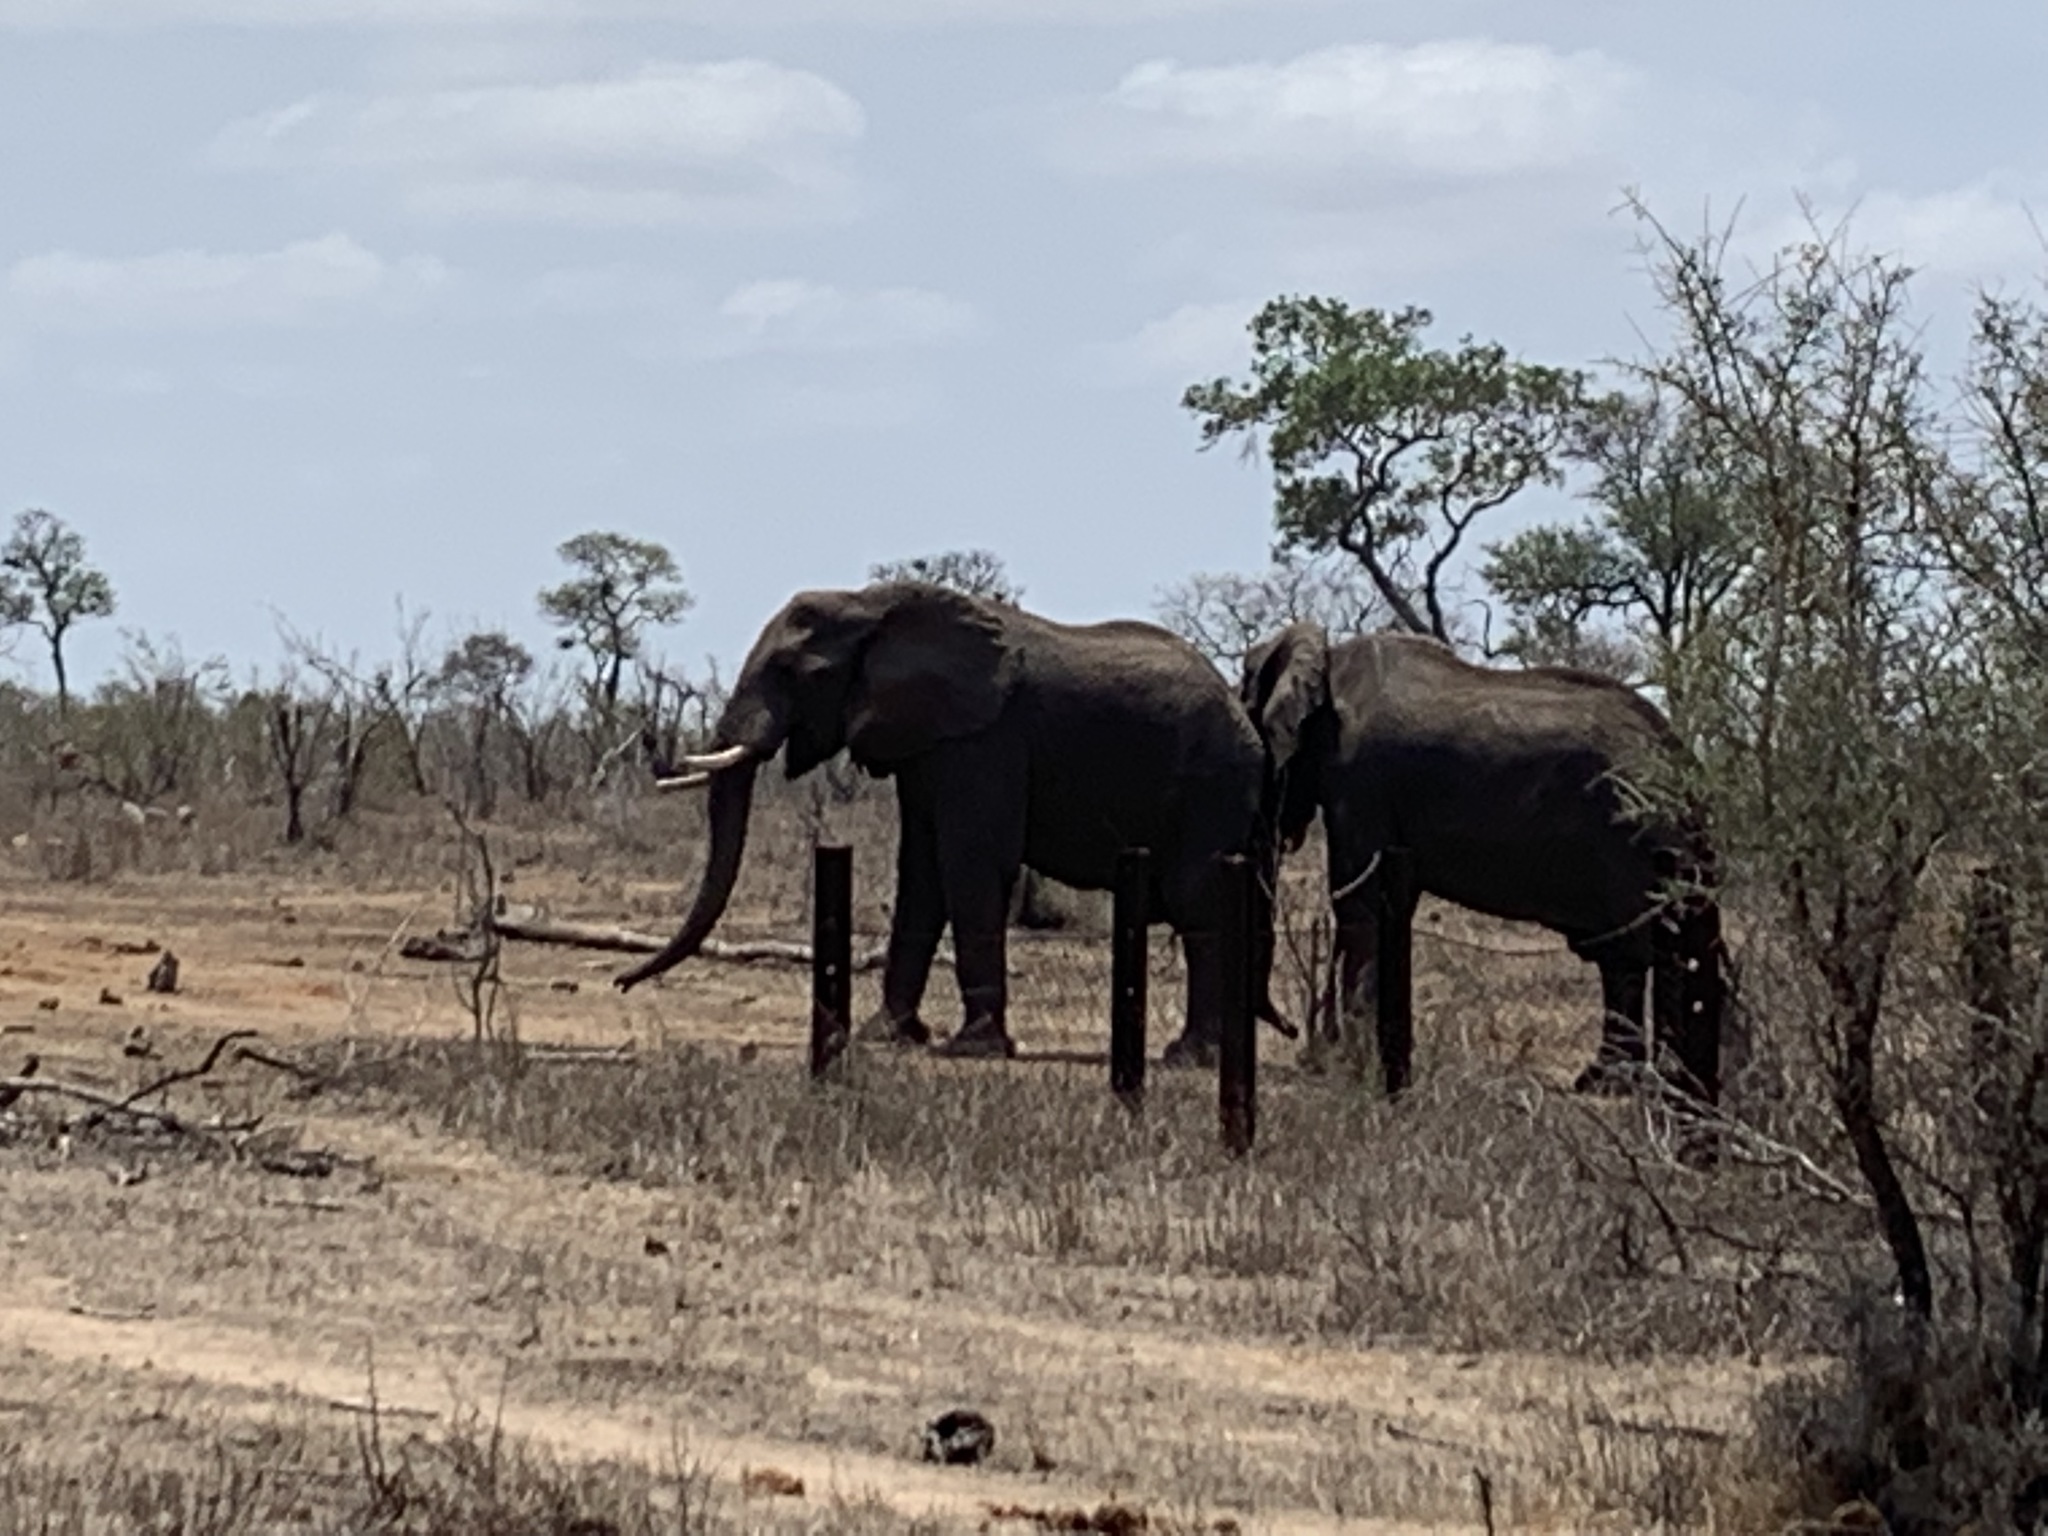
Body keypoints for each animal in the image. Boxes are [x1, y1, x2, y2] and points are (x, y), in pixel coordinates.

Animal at [614, 581, 1286, 1064]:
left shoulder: (985, 739)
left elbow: (970, 861)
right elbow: (920, 870)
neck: (872, 603)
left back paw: (1188, 1057)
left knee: (1195, 896)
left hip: (1212, 783)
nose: (621, 983)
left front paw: (975, 1047)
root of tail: (1243, 714)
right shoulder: (927, 741)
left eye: (799, 672)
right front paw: (885, 1036)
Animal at [1236, 622, 1720, 1097]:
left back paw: (1610, 1085)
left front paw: (1353, 1071)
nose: (1293, 1032)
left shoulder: (1359, 783)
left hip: (1630, 836)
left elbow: (1358, 904)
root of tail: (1684, 767)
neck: (1324, 657)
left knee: (1626, 953)